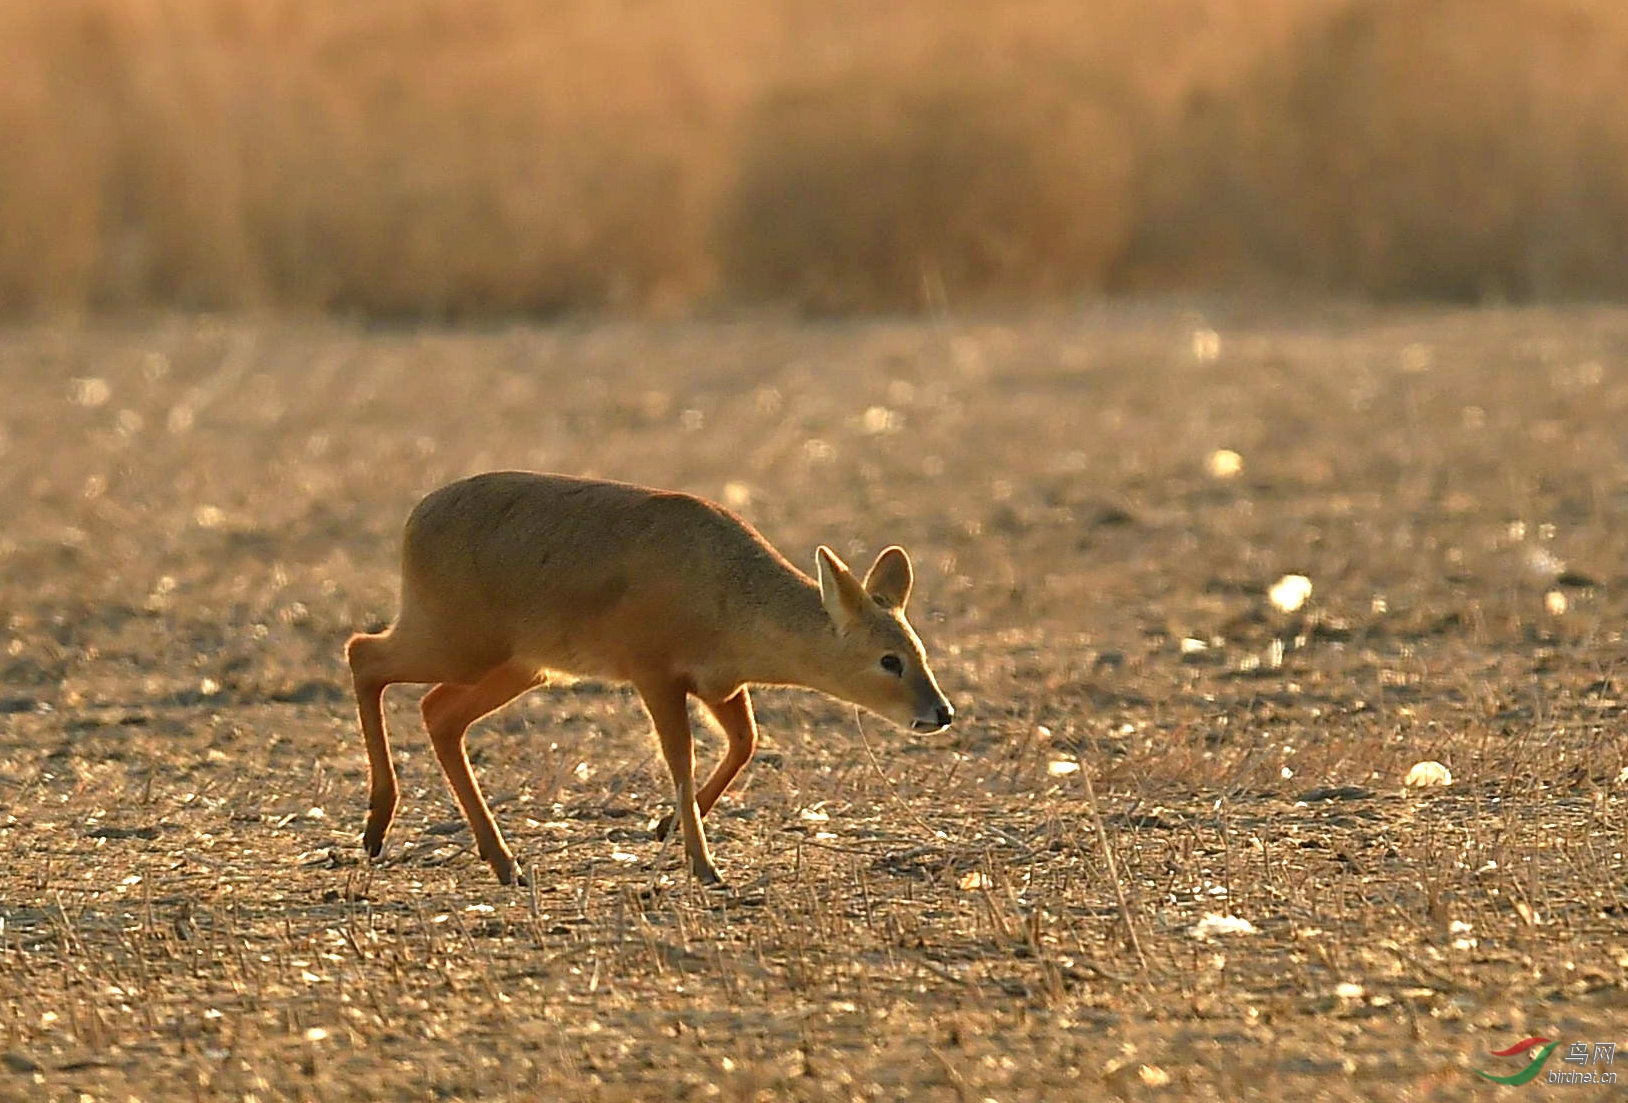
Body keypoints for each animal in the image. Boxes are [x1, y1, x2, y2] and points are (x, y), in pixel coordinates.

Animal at [343, 471, 950, 885]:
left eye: (919, 649)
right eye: (889, 660)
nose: (940, 713)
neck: (732, 606)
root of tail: (415, 519)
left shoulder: (720, 684)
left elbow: (745, 742)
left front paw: (667, 827)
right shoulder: (653, 669)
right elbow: (681, 757)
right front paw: (703, 865)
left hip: (520, 664)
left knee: (438, 713)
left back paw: (502, 860)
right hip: (456, 639)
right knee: (363, 655)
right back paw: (377, 827)